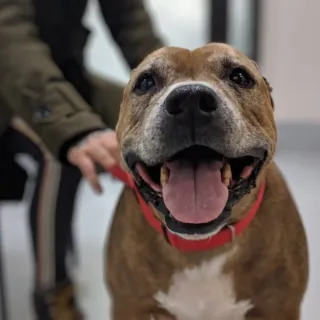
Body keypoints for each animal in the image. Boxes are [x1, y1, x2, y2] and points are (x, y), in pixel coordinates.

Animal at [106, 43, 308, 320]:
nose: (190, 99)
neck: (201, 249)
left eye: (240, 76)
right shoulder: (129, 305)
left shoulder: (280, 306)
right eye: (146, 82)